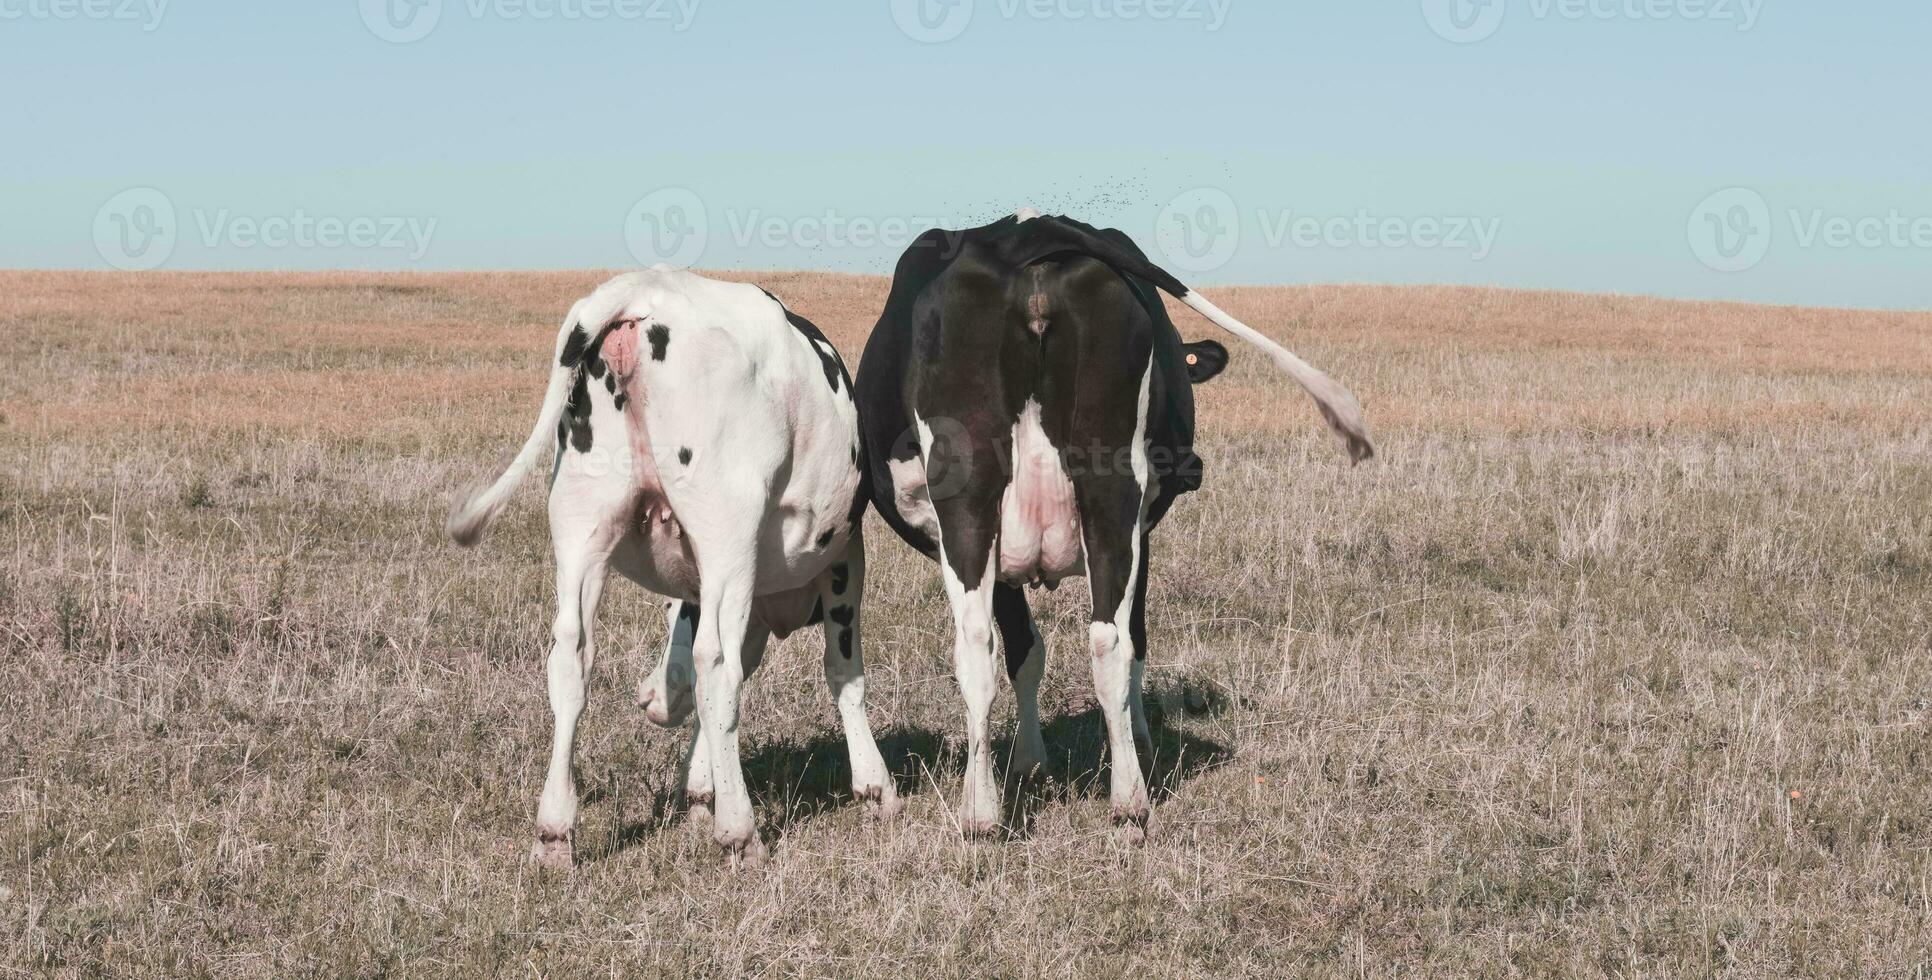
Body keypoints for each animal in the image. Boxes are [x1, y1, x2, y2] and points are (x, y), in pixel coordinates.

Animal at [448, 266, 900, 865]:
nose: (651, 698)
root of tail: (644, 286)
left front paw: (697, 784)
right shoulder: (845, 557)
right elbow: (842, 672)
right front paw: (874, 788)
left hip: (580, 518)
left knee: (572, 657)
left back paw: (555, 831)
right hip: (727, 527)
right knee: (716, 664)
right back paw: (741, 832)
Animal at [850, 214, 1375, 842]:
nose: (1194, 470)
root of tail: (1027, 234)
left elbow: (1028, 648)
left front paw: (1033, 762)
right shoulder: (1134, 535)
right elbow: (1061, 644)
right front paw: (1054, 759)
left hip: (990, 496)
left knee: (1002, 642)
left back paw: (1003, 809)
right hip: (1098, 492)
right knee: (1094, 640)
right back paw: (1114, 799)